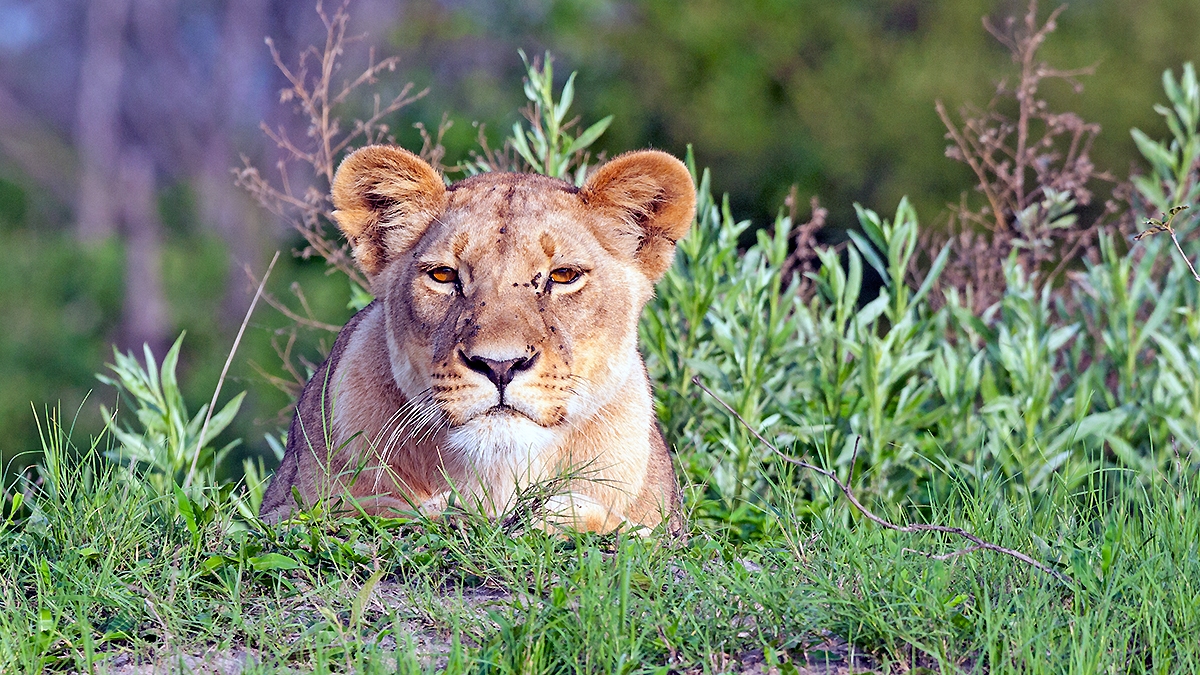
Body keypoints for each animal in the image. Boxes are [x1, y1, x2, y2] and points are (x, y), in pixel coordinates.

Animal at [258, 145, 695, 534]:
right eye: (443, 276)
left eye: (564, 276)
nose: (499, 366)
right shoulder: (278, 511)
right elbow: (353, 508)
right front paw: (440, 509)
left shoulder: (669, 526)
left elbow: (641, 531)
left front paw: (555, 514)